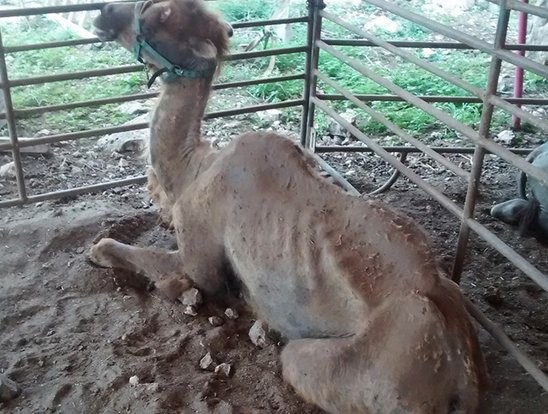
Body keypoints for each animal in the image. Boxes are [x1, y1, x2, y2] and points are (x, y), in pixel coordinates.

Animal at [90, 1, 488, 412]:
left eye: (160, 15)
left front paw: (109, 256)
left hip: (360, 371)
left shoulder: (199, 245)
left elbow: (167, 267)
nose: (104, 12)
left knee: (297, 360)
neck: (192, 170)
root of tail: (462, 379)